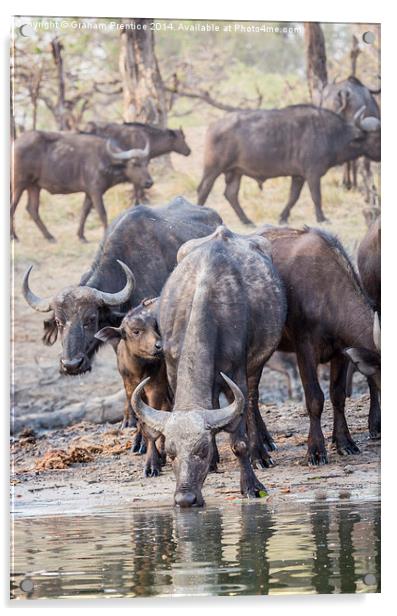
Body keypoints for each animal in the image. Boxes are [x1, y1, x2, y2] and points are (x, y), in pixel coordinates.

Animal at [10, 129, 151, 242]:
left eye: (146, 163)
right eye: (134, 164)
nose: (149, 182)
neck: (105, 160)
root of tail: (15, 143)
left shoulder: (88, 193)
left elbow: (84, 212)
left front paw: (81, 236)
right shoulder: (96, 191)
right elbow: (102, 213)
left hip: (34, 186)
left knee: (32, 209)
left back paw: (49, 236)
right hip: (19, 184)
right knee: (13, 207)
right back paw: (15, 237)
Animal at [96, 298, 172, 476]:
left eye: (156, 327)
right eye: (136, 331)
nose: (159, 346)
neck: (139, 369)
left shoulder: (156, 388)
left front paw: (153, 463)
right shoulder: (130, 389)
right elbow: (142, 420)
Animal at [132, 225, 284, 506]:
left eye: (200, 451)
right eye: (171, 453)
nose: (185, 499)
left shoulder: (237, 372)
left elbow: (239, 439)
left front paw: (251, 484)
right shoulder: (173, 366)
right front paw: (214, 460)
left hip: (256, 365)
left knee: (252, 400)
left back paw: (260, 453)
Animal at [196, 104, 378, 225]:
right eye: (378, 136)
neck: (331, 134)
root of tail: (214, 125)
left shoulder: (298, 176)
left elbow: (293, 197)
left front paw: (283, 217)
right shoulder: (313, 174)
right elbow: (316, 197)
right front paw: (321, 218)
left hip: (235, 172)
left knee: (231, 194)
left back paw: (246, 220)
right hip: (213, 168)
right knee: (204, 189)